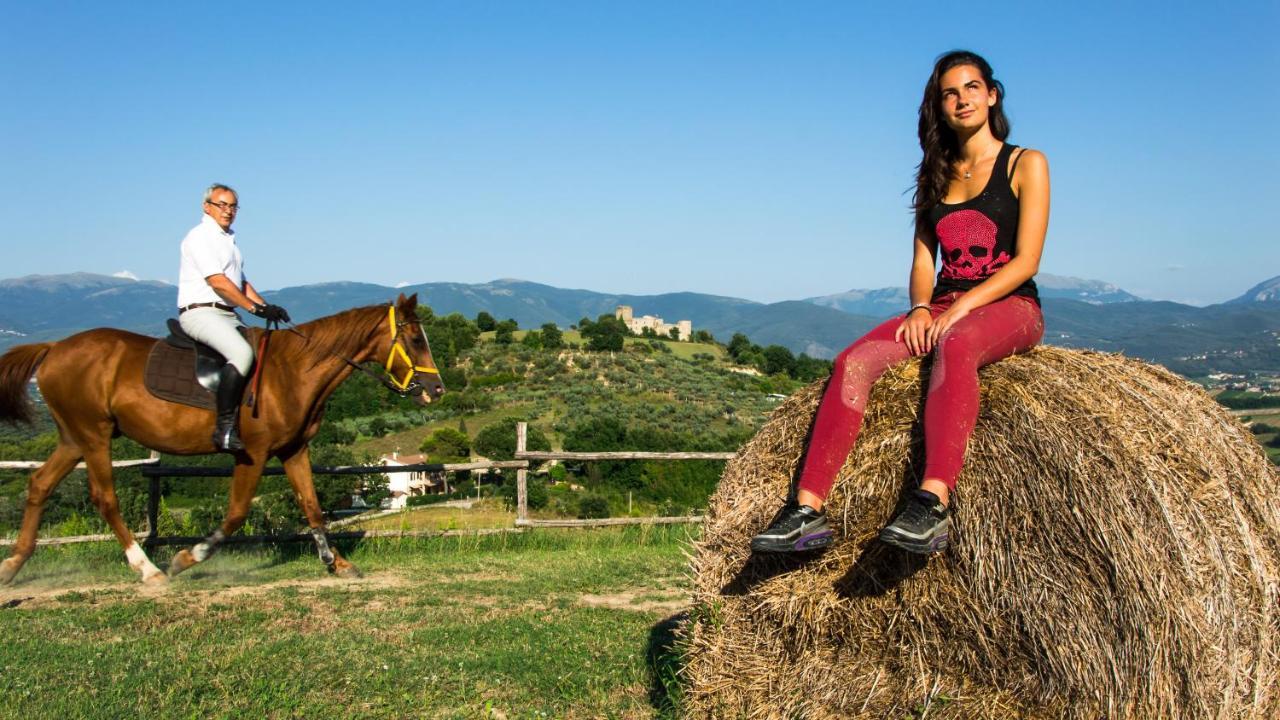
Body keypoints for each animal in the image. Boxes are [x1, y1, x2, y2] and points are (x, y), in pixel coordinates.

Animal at [0, 292, 445, 584]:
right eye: (416, 340)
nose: (436, 390)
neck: (293, 370)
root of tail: (54, 348)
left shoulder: (293, 449)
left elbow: (312, 506)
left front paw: (335, 563)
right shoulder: (253, 453)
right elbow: (236, 513)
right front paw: (186, 558)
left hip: (74, 438)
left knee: (39, 485)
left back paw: (12, 566)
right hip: (94, 436)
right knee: (104, 498)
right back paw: (149, 570)